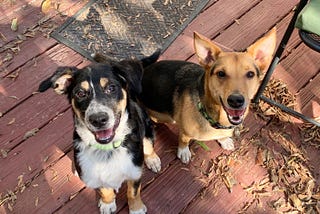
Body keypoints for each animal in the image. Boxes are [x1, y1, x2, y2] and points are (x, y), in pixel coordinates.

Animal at [38, 52, 161, 214]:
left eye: (111, 88)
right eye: (80, 93)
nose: (98, 119)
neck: (107, 150)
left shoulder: (134, 171)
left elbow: (133, 192)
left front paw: (136, 209)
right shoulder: (97, 177)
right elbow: (105, 190)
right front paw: (107, 204)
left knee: (148, 144)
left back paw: (153, 160)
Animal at [141, 28, 276, 164]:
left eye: (250, 74)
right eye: (221, 73)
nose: (236, 100)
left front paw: (224, 140)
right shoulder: (185, 133)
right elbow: (183, 140)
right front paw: (184, 151)